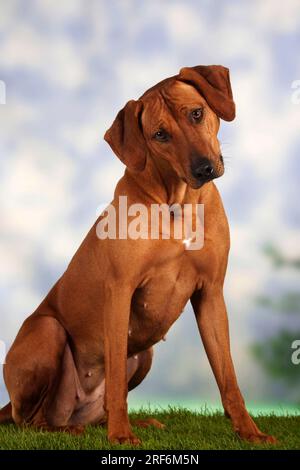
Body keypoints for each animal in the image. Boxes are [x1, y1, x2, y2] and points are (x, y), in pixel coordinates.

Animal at [0, 65, 276, 444]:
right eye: (160, 134)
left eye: (196, 113)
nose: (204, 168)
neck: (178, 205)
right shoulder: (119, 292)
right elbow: (116, 374)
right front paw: (120, 435)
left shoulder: (211, 293)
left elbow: (228, 377)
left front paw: (250, 431)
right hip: (47, 331)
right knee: (30, 421)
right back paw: (72, 429)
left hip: (145, 353)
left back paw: (128, 423)